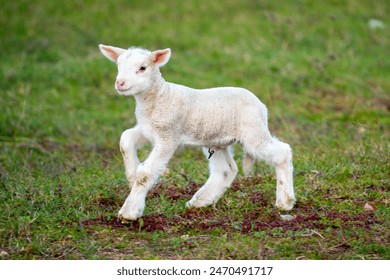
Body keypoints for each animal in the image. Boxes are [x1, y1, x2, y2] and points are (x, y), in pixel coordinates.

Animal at [99, 44, 294, 222]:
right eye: (118, 66)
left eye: (142, 68)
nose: (120, 83)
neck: (159, 97)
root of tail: (262, 106)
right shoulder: (148, 130)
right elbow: (125, 139)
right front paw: (131, 175)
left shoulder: (168, 135)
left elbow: (146, 172)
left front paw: (129, 212)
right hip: (215, 140)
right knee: (226, 170)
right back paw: (200, 202)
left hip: (253, 131)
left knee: (282, 152)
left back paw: (285, 202)